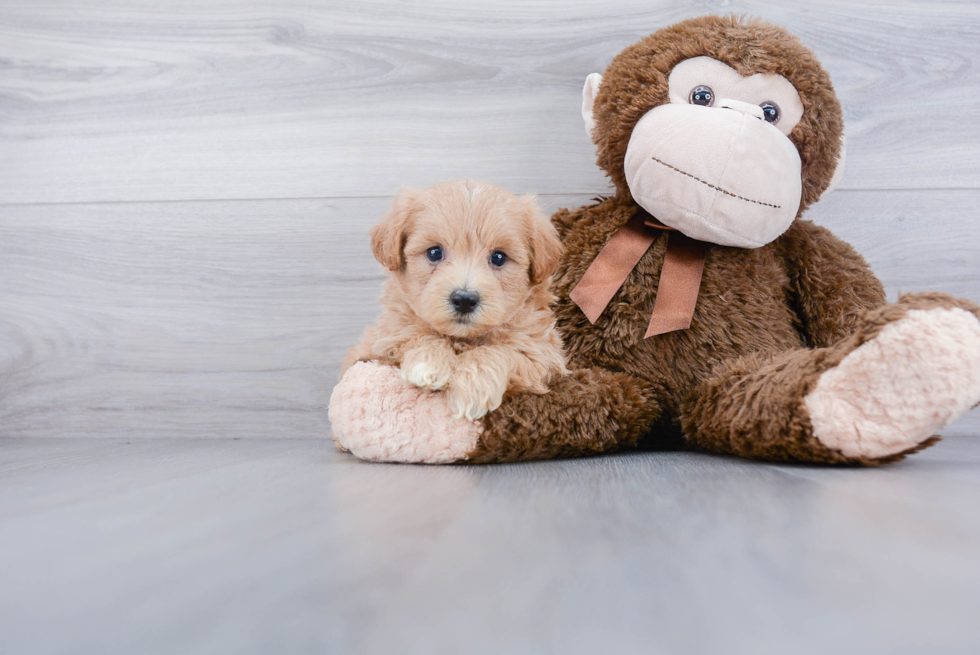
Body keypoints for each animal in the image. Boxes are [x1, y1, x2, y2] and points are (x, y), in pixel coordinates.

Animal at [340, 179, 568, 420]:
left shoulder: (542, 353)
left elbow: (500, 351)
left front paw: (473, 387)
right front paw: (429, 361)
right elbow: (412, 332)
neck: (462, 338)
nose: (465, 300)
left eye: (498, 257)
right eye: (434, 253)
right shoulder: (379, 340)